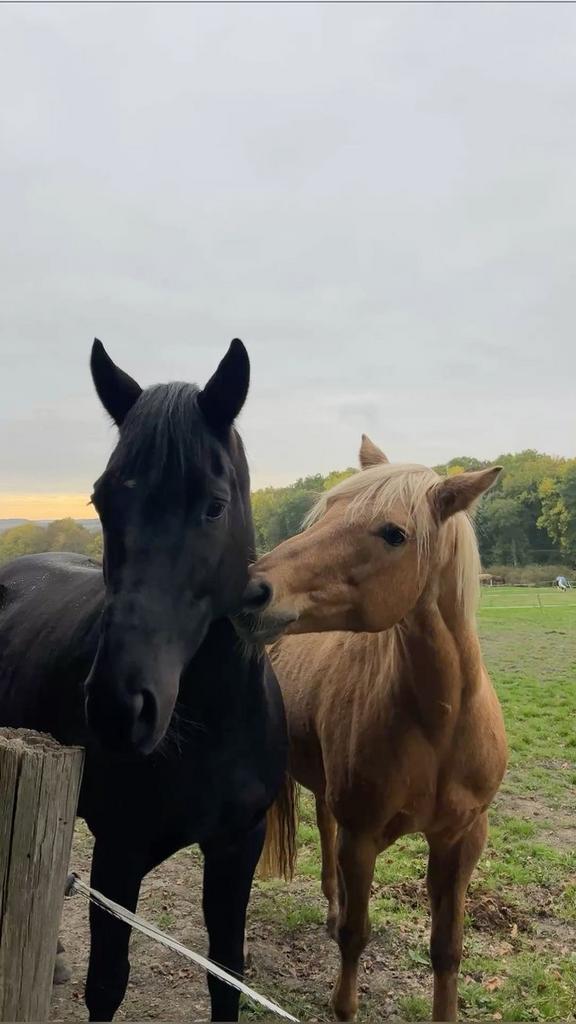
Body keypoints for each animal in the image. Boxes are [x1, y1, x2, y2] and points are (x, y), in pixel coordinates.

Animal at [0, 338, 294, 1022]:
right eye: (102, 501)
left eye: (213, 504)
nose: (118, 707)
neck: (211, 725)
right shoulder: (120, 853)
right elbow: (108, 982)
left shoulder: (237, 847)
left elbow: (226, 975)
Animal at [238, 435, 508, 1022]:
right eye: (327, 513)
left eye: (393, 534)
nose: (250, 593)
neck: (439, 722)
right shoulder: (362, 839)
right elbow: (356, 936)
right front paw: (343, 1003)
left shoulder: (462, 840)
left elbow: (447, 950)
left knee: (323, 820)